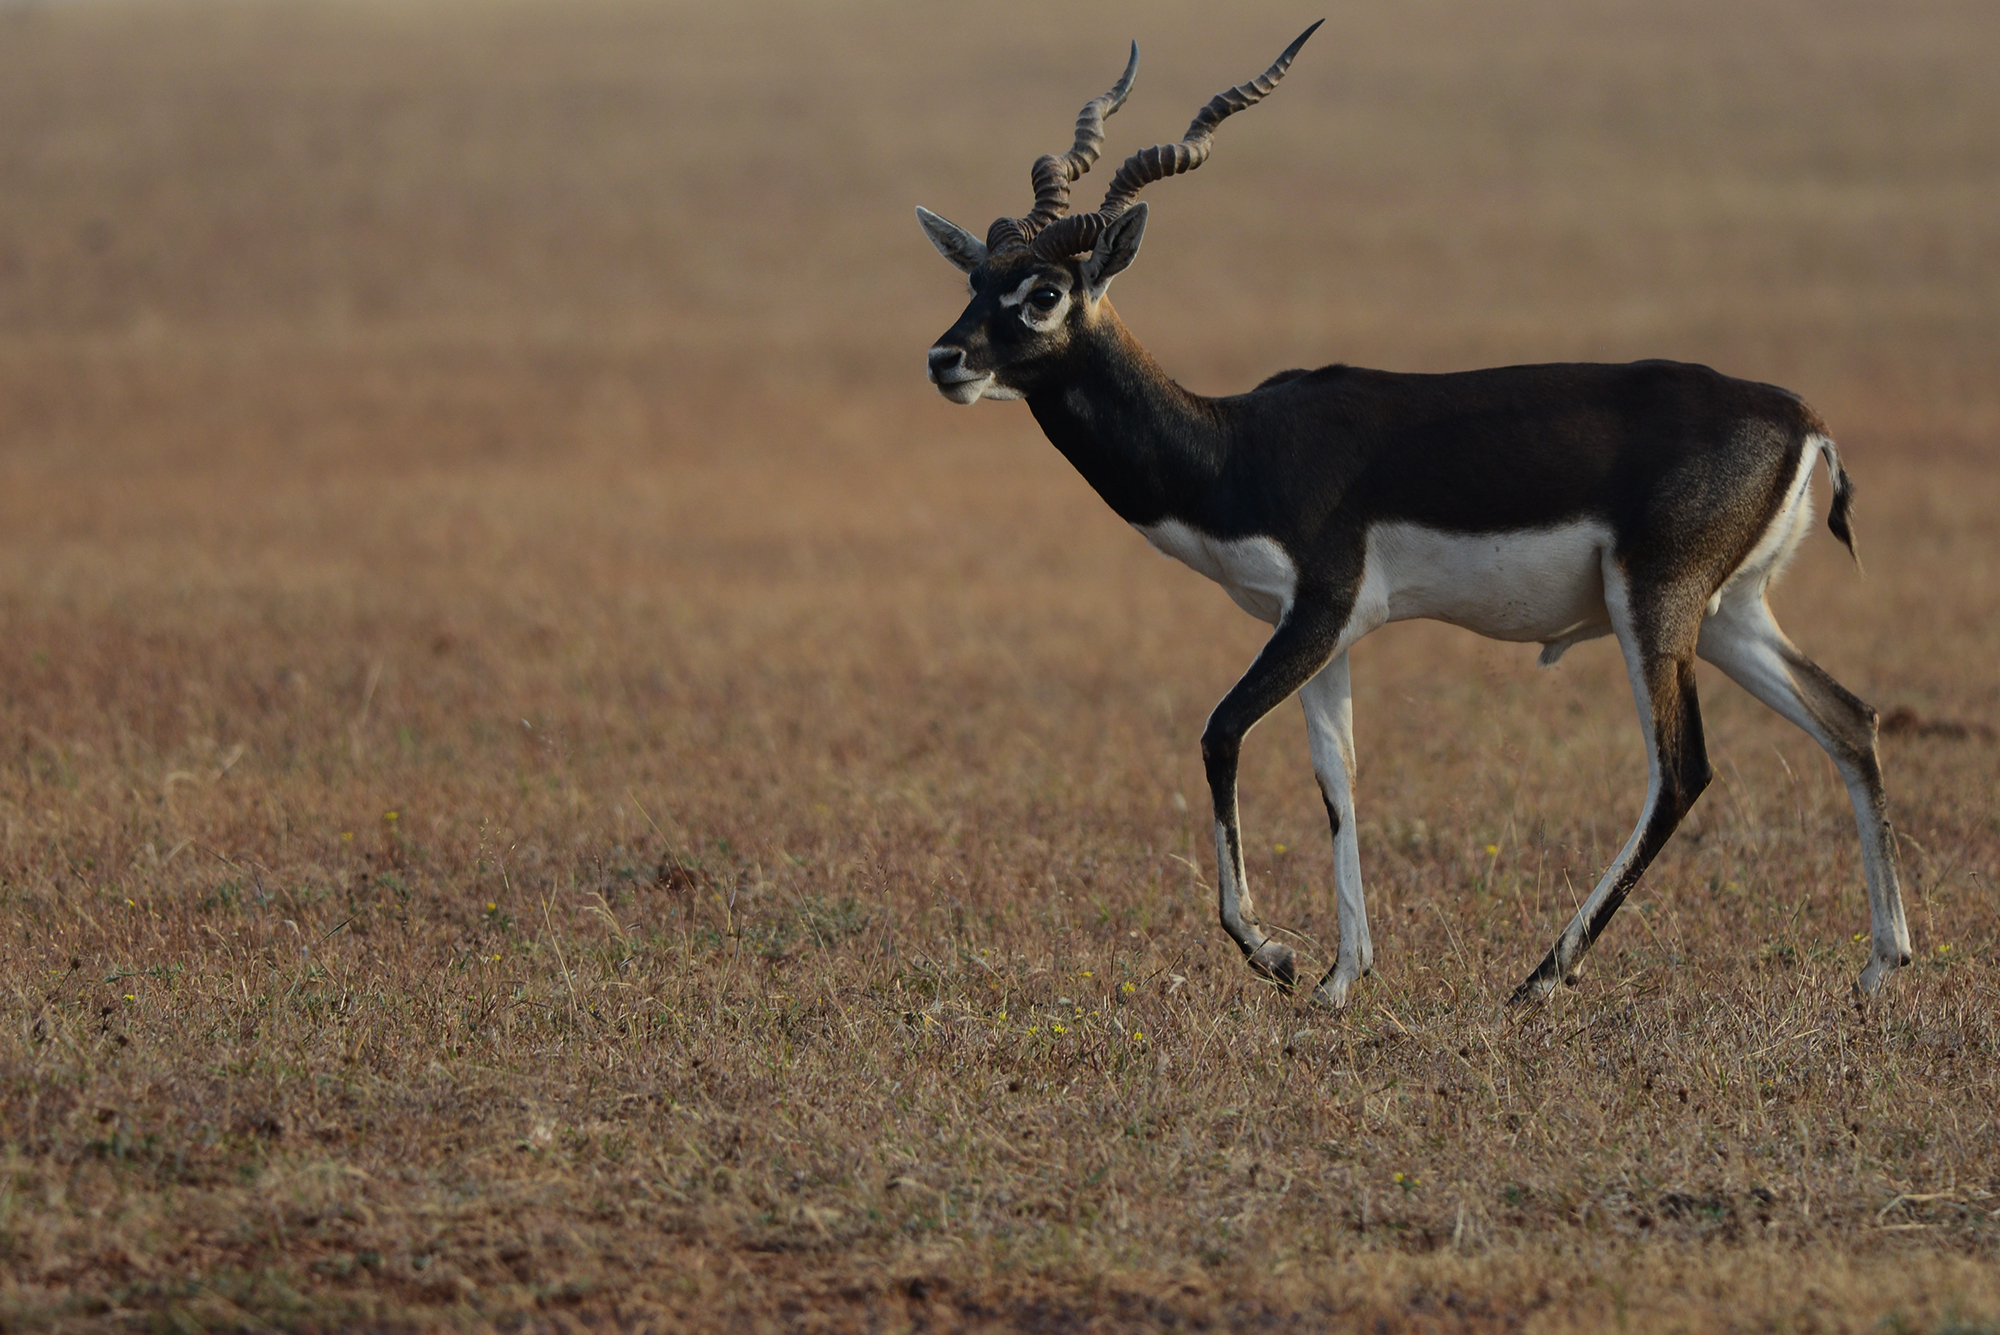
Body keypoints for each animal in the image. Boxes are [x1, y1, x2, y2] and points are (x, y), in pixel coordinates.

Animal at [916, 23, 1912, 999]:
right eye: (976, 283)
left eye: (1044, 293)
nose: (944, 360)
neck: (1237, 446)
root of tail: (1800, 417)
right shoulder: (1322, 631)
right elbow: (1338, 777)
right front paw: (1340, 976)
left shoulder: (1318, 609)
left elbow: (1221, 732)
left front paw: (1273, 953)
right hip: (1730, 612)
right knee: (1850, 719)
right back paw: (1880, 963)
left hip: (1654, 605)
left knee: (1682, 770)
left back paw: (1542, 977)